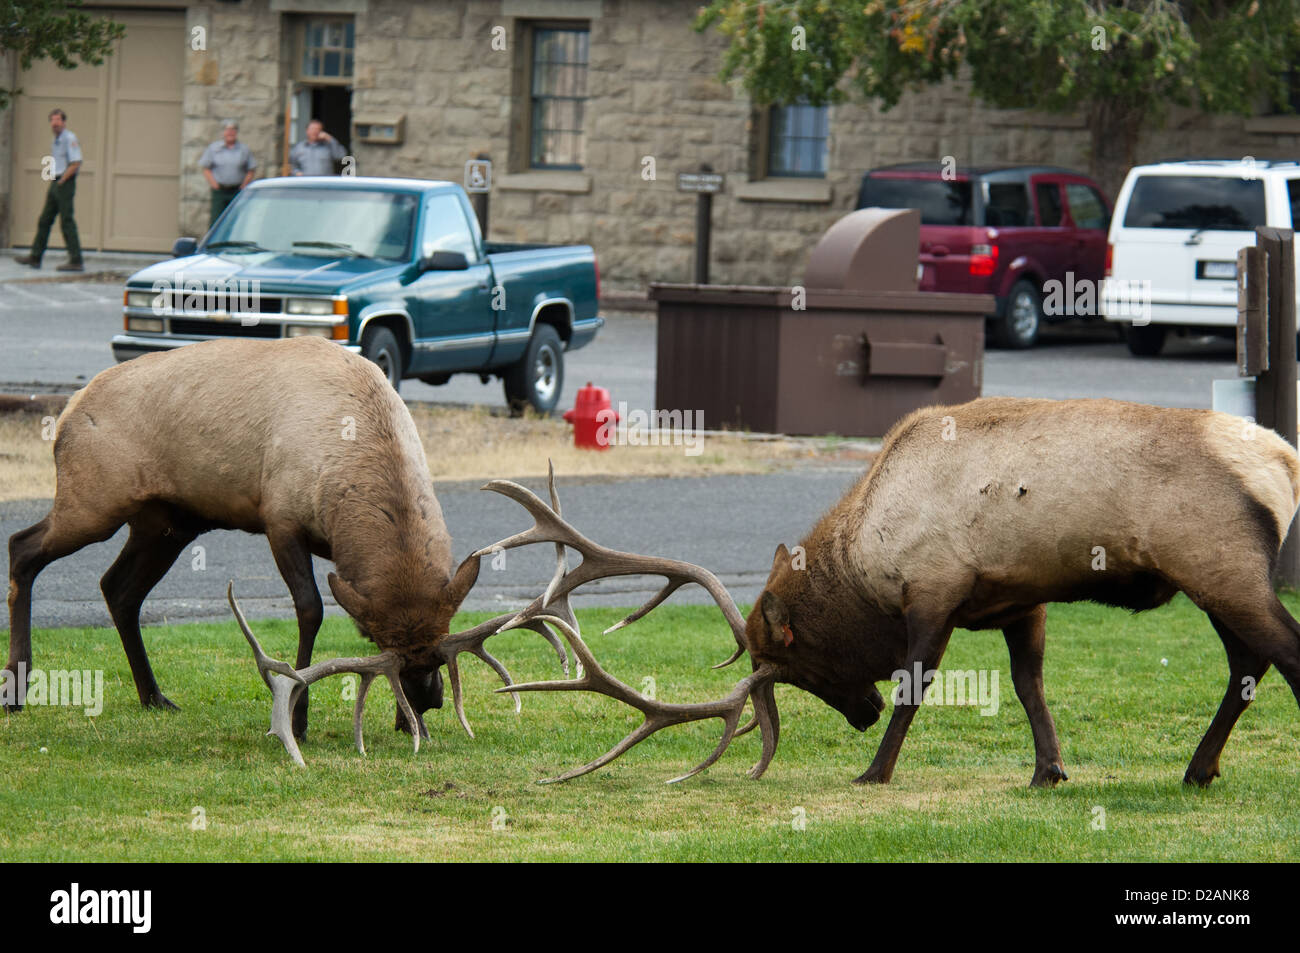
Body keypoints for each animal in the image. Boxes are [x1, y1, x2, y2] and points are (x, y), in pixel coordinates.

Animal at [6, 338, 564, 748]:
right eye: (379, 644)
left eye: (436, 651)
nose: (427, 704)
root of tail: (69, 410)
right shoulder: (280, 520)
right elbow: (310, 608)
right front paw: (296, 719)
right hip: (95, 499)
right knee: (22, 546)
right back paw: (16, 687)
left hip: (166, 521)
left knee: (118, 587)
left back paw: (154, 696)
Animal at [473, 397, 1300, 785]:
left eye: (798, 664)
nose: (859, 714)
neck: (865, 556)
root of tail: (1282, 460)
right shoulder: (1019, 599)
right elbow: (1030, 684)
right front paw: (1048, 768)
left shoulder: (934, 587)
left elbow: (915, 685)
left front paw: (875, 768)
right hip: (1214, 578)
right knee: (1247, 664)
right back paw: (1198, 767)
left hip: (1219, 566)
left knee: (1281, 653)